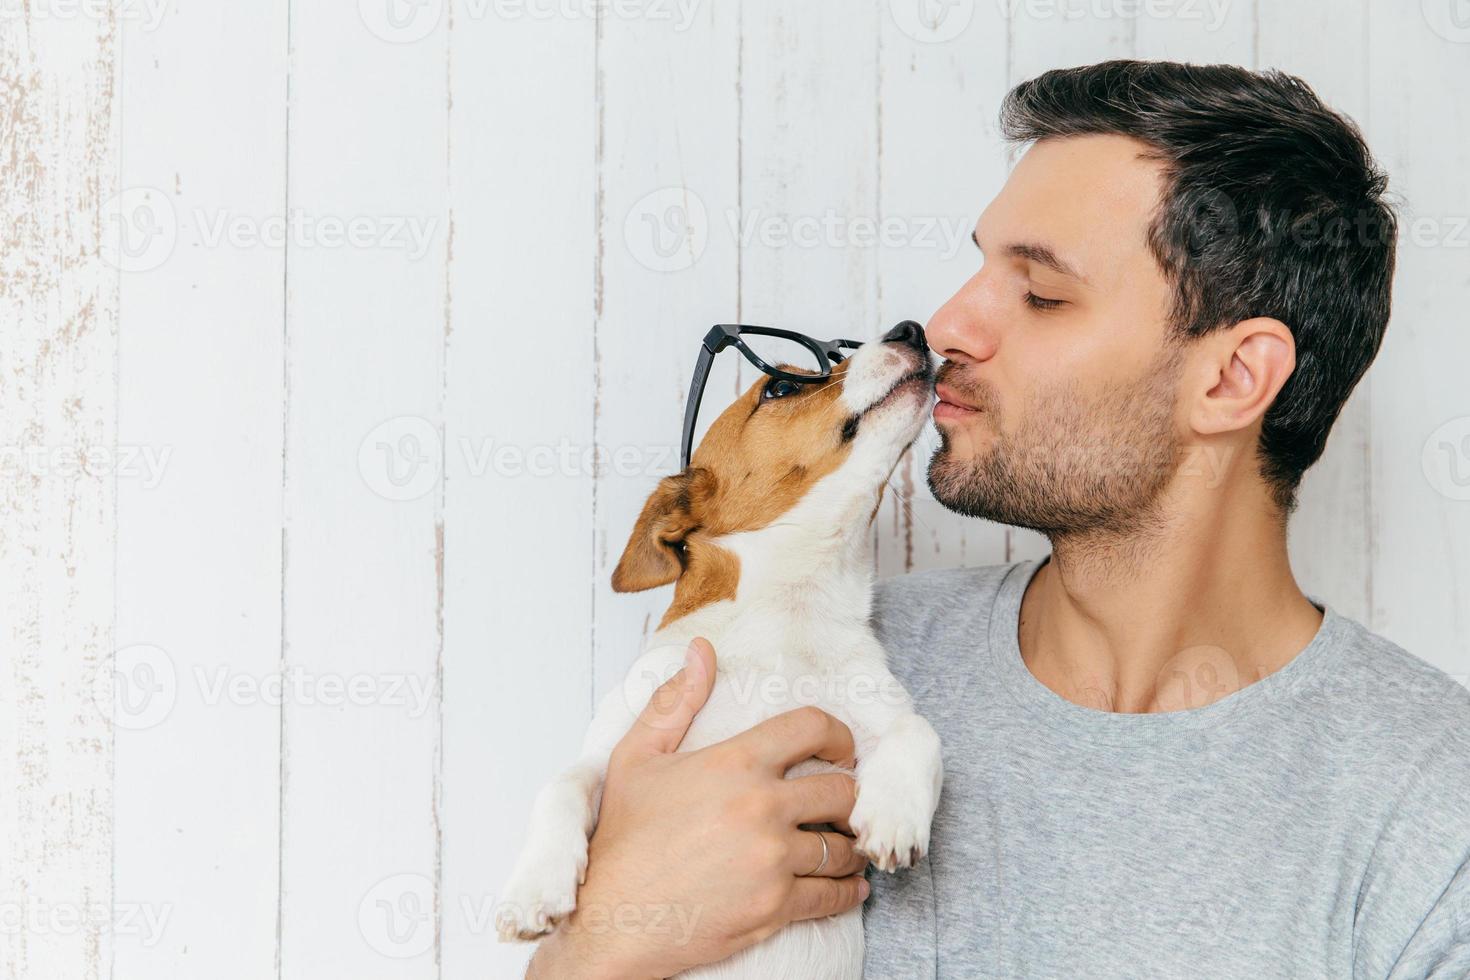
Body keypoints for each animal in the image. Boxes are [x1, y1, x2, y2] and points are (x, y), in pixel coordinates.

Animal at [499, 323, 946, 980]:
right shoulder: (612, 748)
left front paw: (894, 816)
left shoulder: (873, 719)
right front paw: (532, 890)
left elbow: (920, 731)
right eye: (781, 387)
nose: (911, 329)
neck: (786, 617)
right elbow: (562, 781)